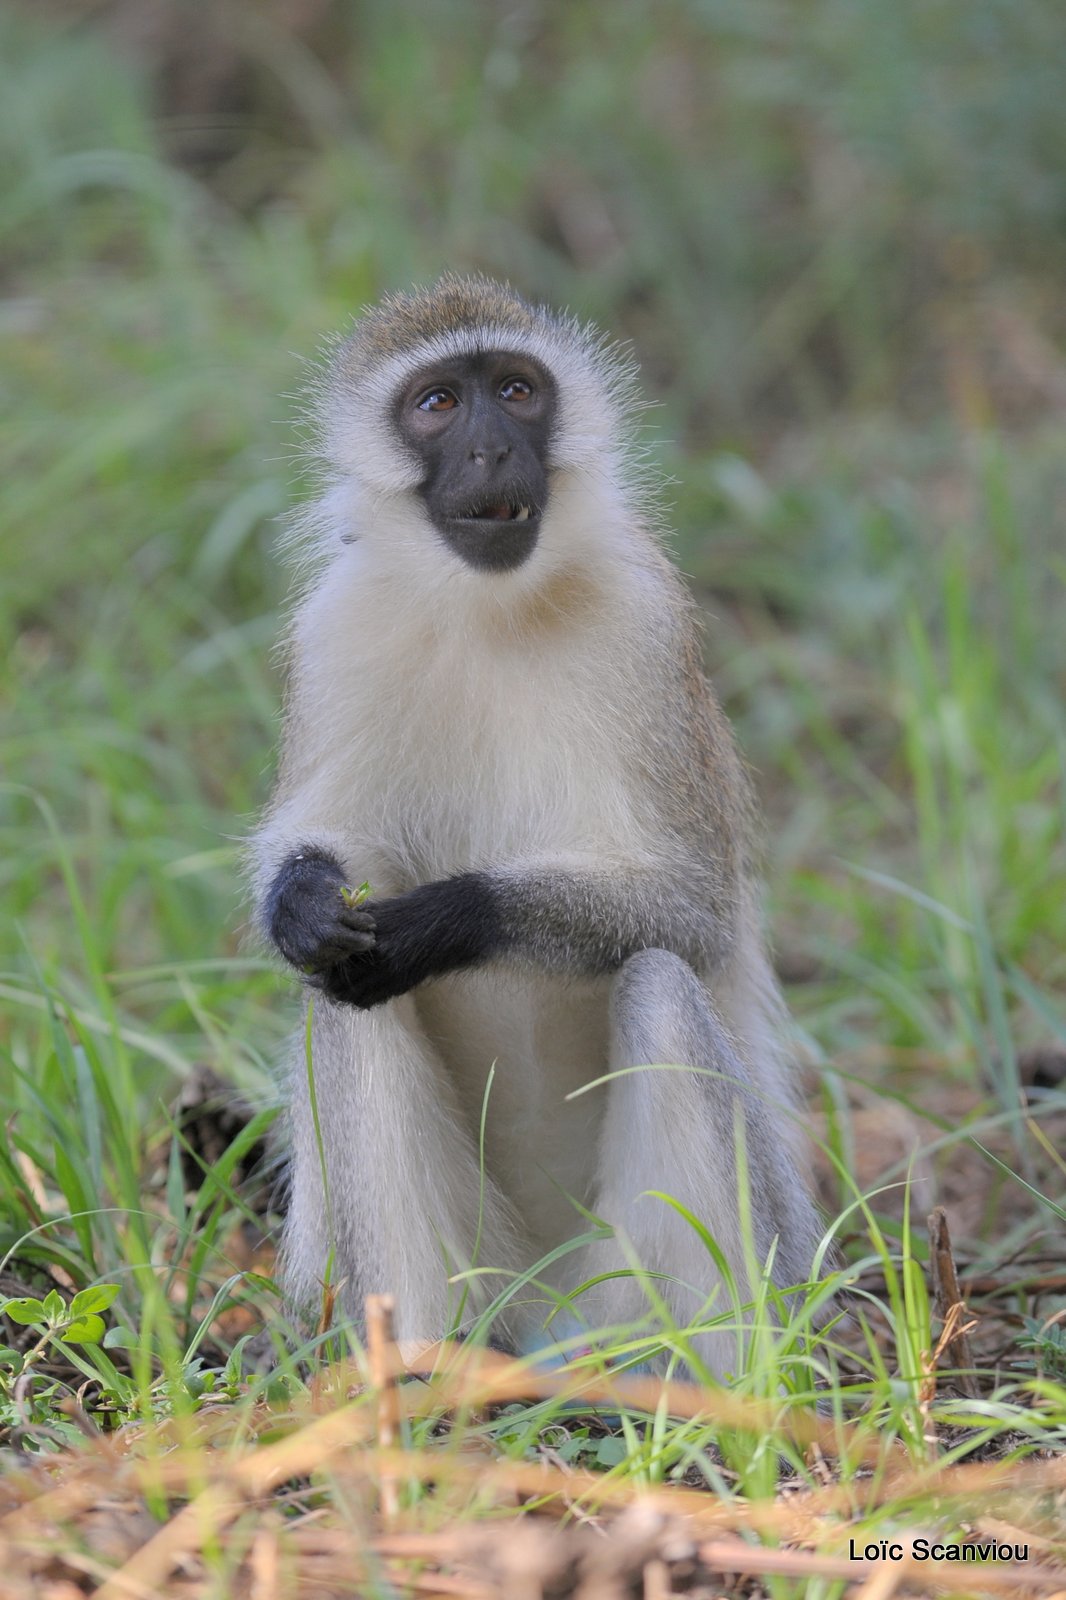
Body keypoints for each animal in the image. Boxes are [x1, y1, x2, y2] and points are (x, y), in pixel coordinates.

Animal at [251, 275, 819, 1376]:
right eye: (438, 404)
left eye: (515, 391)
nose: (489, 451)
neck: (491, 609)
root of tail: (551, 1313)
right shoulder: (334, 626)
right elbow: (320, 856)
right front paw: (301, 900)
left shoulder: (646, 622)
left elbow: (694, 914)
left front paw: (438, 921)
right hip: (486, 1272)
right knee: (341, 997)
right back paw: (414, 1379)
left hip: (645, 1274)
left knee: (657, 985)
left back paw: (727, 1393)